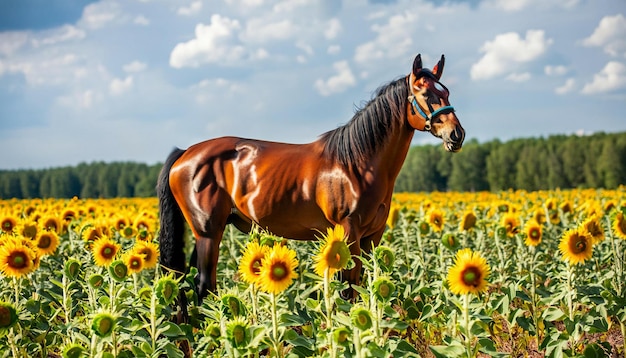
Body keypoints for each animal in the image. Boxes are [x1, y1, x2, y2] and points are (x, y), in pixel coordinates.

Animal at [156, 53, 464, 304]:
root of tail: (186, 153)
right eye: (424, 93)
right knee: (203, 285)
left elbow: (362, 285)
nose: (456, 134)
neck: (357, 163)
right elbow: (348, 287)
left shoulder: (371, 238)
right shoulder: (348, 232)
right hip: (208, 232)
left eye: (446, 91)